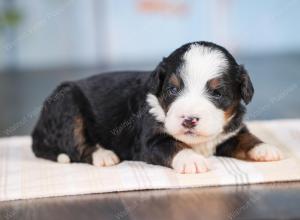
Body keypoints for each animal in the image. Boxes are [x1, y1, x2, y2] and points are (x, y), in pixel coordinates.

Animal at [32, 41, 284, 174]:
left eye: (217, 93)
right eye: (172, 89)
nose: (189, 119)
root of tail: (36, 131)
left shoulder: (229, 132)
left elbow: (245, 138)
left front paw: (264, 148)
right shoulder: (149, 141)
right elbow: (172, 145)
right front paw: (191, 160)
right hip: (67, 104)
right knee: (75, 145)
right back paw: (103, 155)